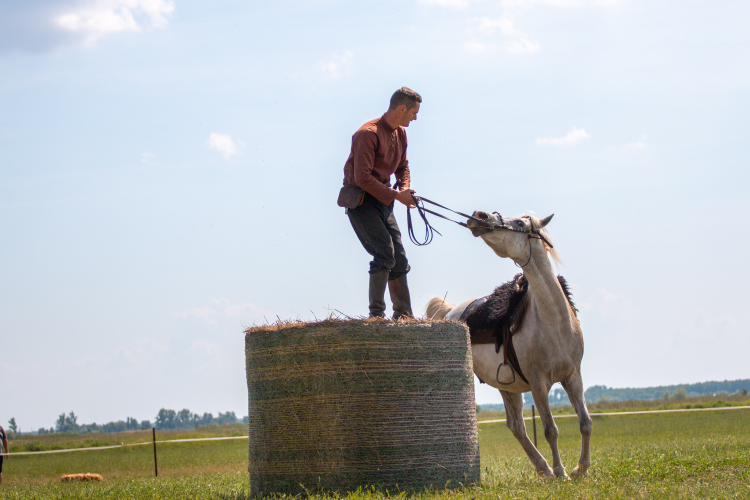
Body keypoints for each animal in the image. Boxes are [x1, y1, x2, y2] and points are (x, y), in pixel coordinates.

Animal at [428, 210, 592, 476]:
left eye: (519, 223)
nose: (480, 216)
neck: (554, 323)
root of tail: (453, 311)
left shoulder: (573, 376)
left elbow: (585, 423)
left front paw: (582, 468)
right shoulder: (538, 384)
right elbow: (550, 430)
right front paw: (561, 472)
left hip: (507, 386)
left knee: (516, 426)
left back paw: (543, 469)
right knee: (518, 427)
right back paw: (548, 470)